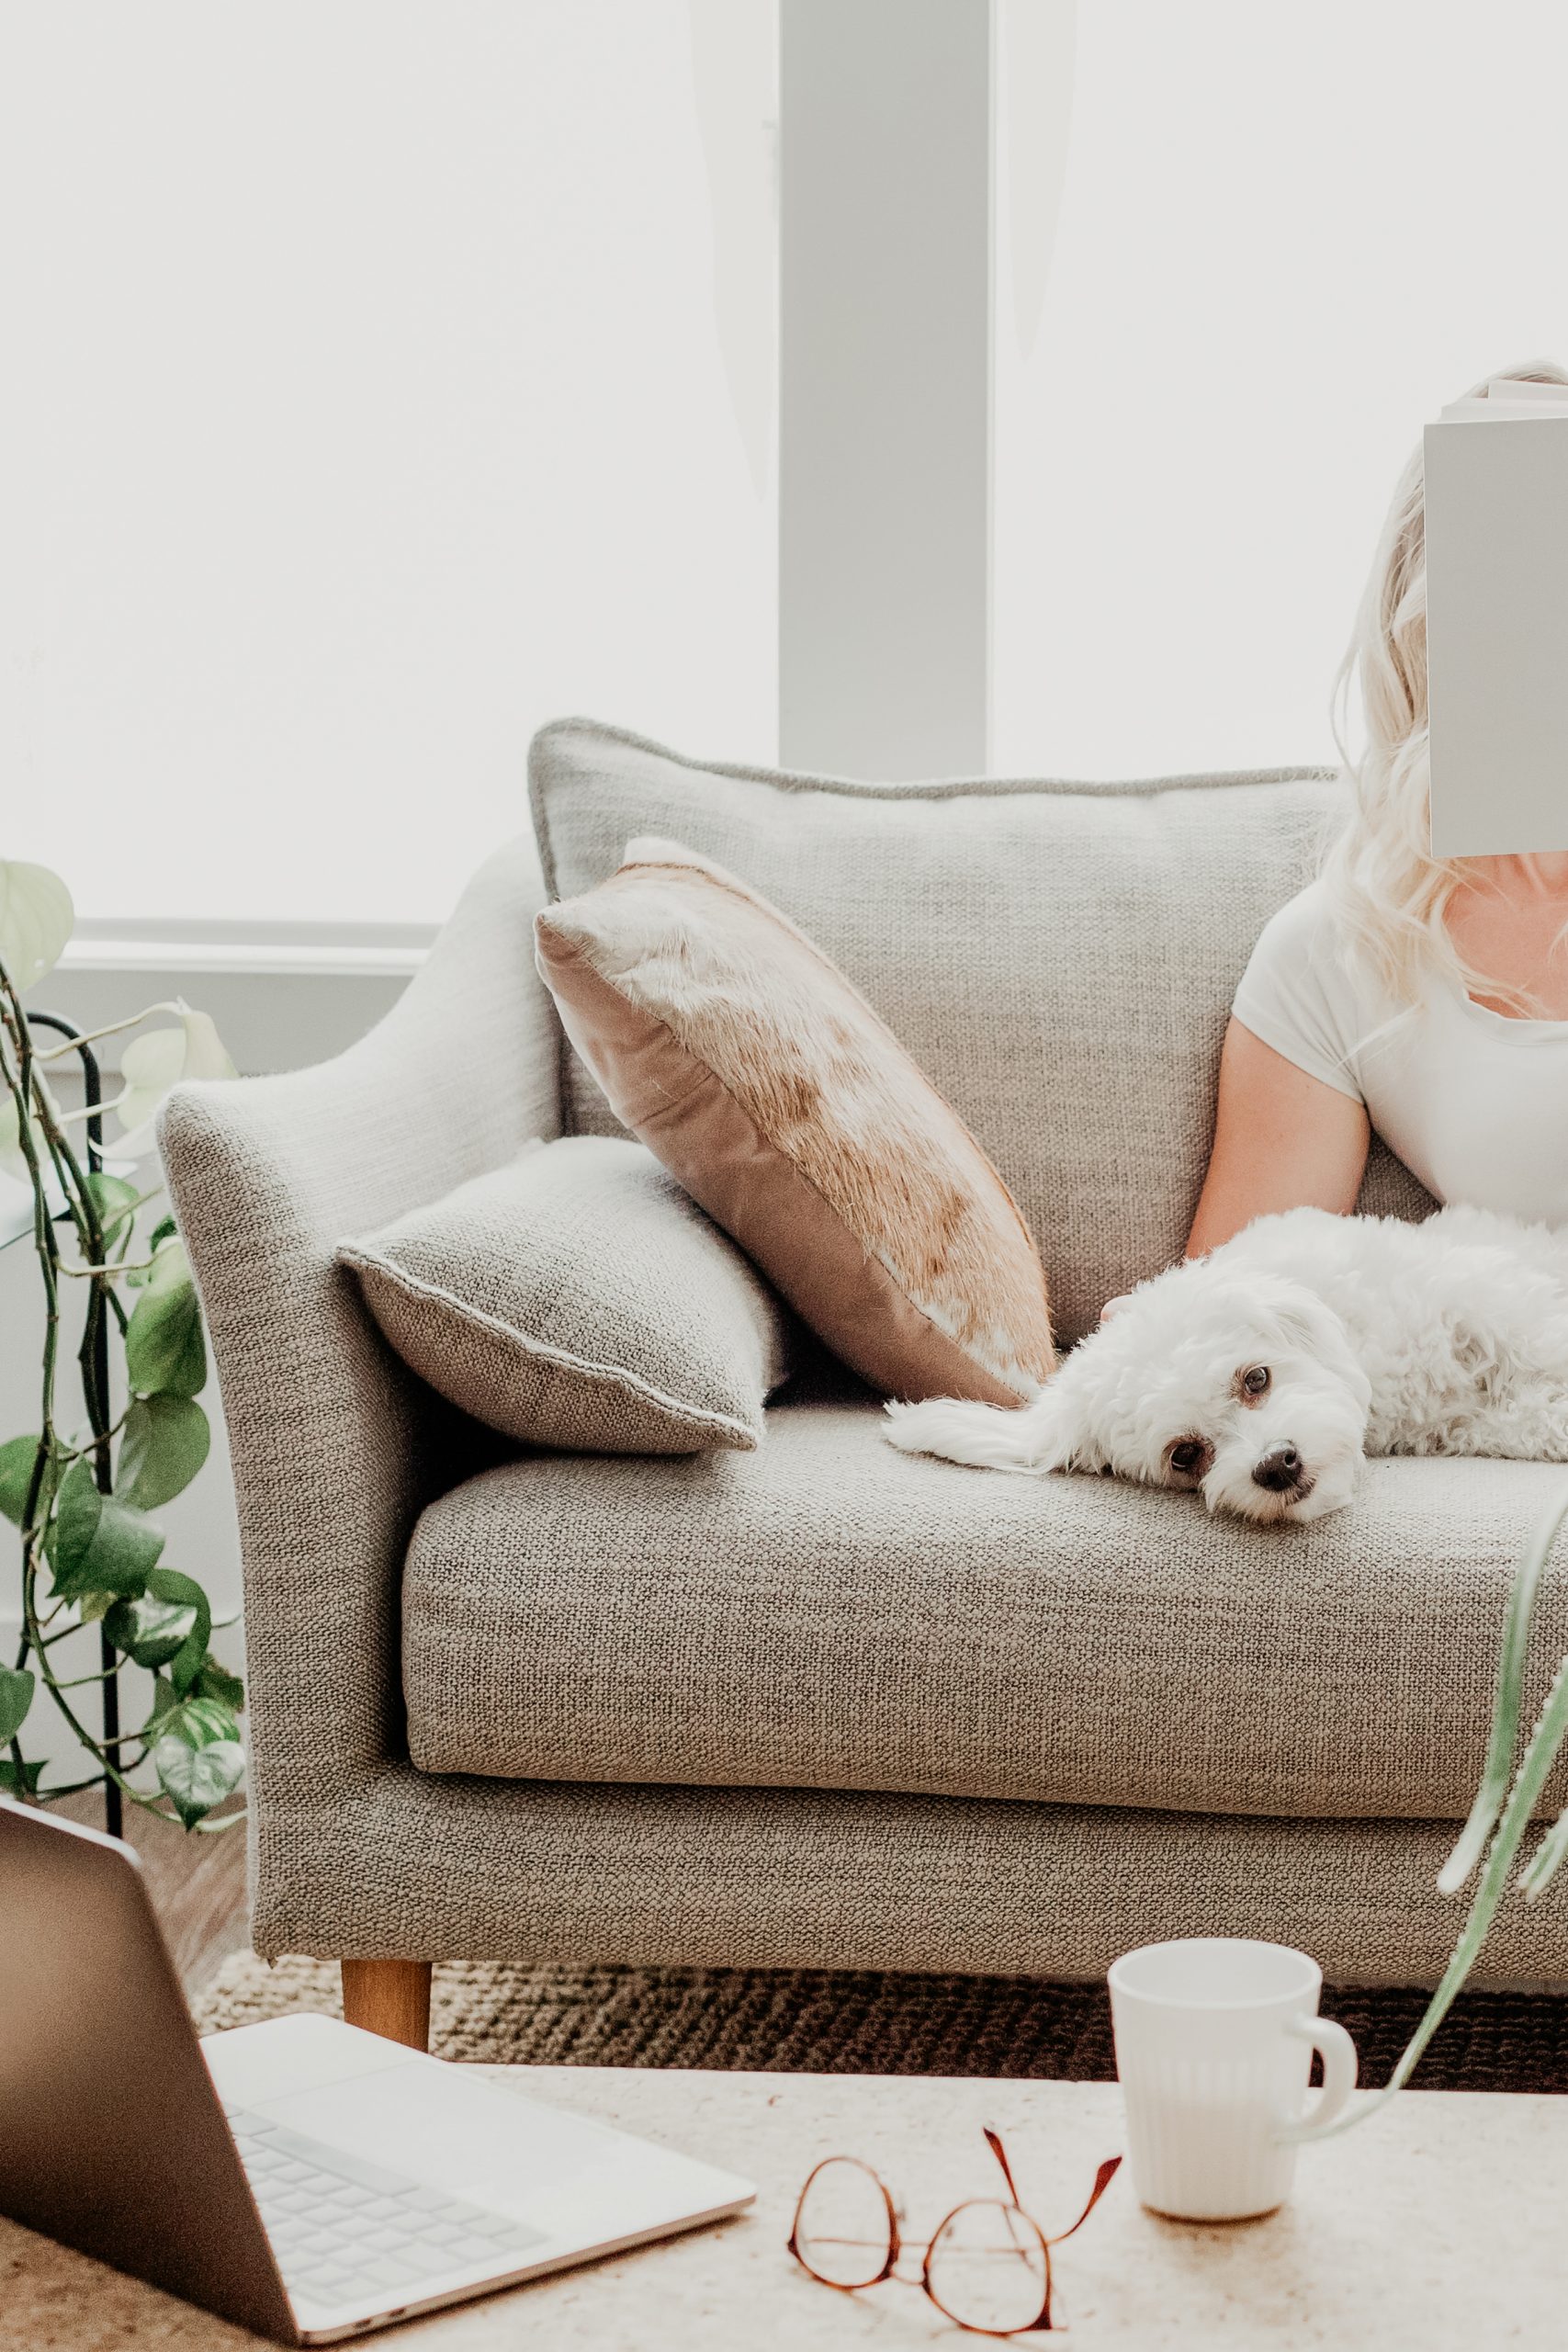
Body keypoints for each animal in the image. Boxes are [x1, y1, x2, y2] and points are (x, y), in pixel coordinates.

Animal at [888, 1213, 1568, 1523]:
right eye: (1185, 1455)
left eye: (1256, 1378)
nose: (1276, 1464)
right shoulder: (1466, 1419)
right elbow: (1525, 1421)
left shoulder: (1489, 1300)